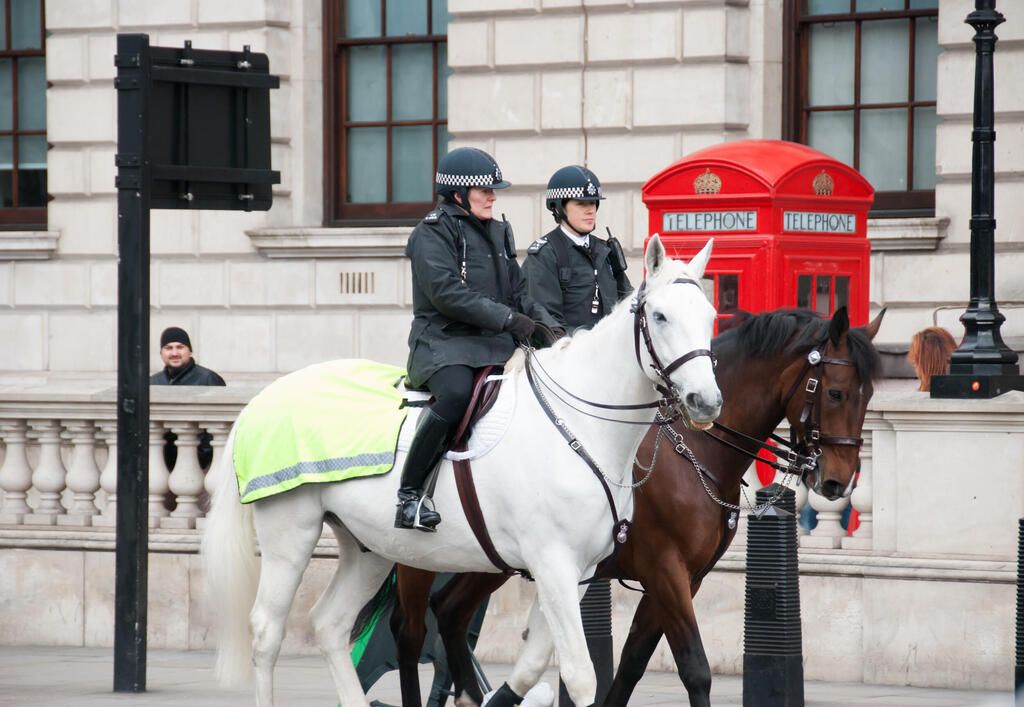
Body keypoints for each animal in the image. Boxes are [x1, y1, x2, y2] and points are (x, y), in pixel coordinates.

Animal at [199, 233, 720, 700]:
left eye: (711, 316)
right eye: (660, 316)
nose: (706, 401)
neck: (579, 426)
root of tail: (264, 397)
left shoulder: (580, 571)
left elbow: (534, 664)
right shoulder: (554, 564)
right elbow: (579, 676)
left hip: (370, 546)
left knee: (330, 624)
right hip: (291, 533)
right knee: (267, 632)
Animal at [385, 307, 880, 704]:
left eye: (869, 395)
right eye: (836, 392)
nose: (836, 480)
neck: (693, 448)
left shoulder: (684, 578)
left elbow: (631, 665)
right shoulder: (664, 568)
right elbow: (695, 669)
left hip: (492, 556)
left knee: (449, 612)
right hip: (419, 555)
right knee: (409, 633)